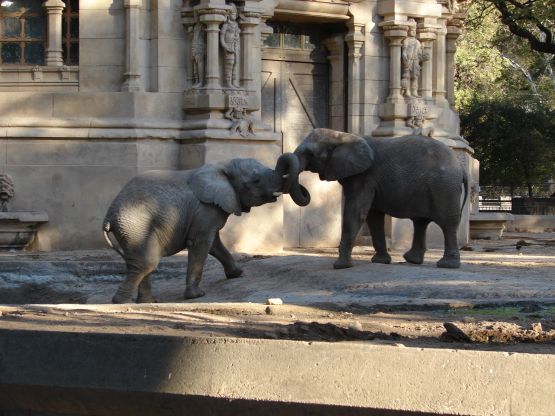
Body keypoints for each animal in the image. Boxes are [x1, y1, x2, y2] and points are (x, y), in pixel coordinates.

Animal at [103, 154, 312, 304]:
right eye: (256, 181)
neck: (223, 165)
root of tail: (108, 217)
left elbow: (214, 243)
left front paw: (237, 274)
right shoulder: (205, 209)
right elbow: (201, 242)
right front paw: (197, 295)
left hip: (132, 229)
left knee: (142, 263)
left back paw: (148, 302)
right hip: (134, 225)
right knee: (147, 263)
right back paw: (122, 302)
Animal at [292, 127, 470, 270]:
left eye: (310, 154)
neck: (342, 135)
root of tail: (461, 168)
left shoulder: (364, 177)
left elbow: (356, 212)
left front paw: (341, 266)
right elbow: (373, 217)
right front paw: (380, 261)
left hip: (444, 187)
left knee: (447, 224)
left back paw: (447, 265)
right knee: (420, 222)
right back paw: (412, 260)